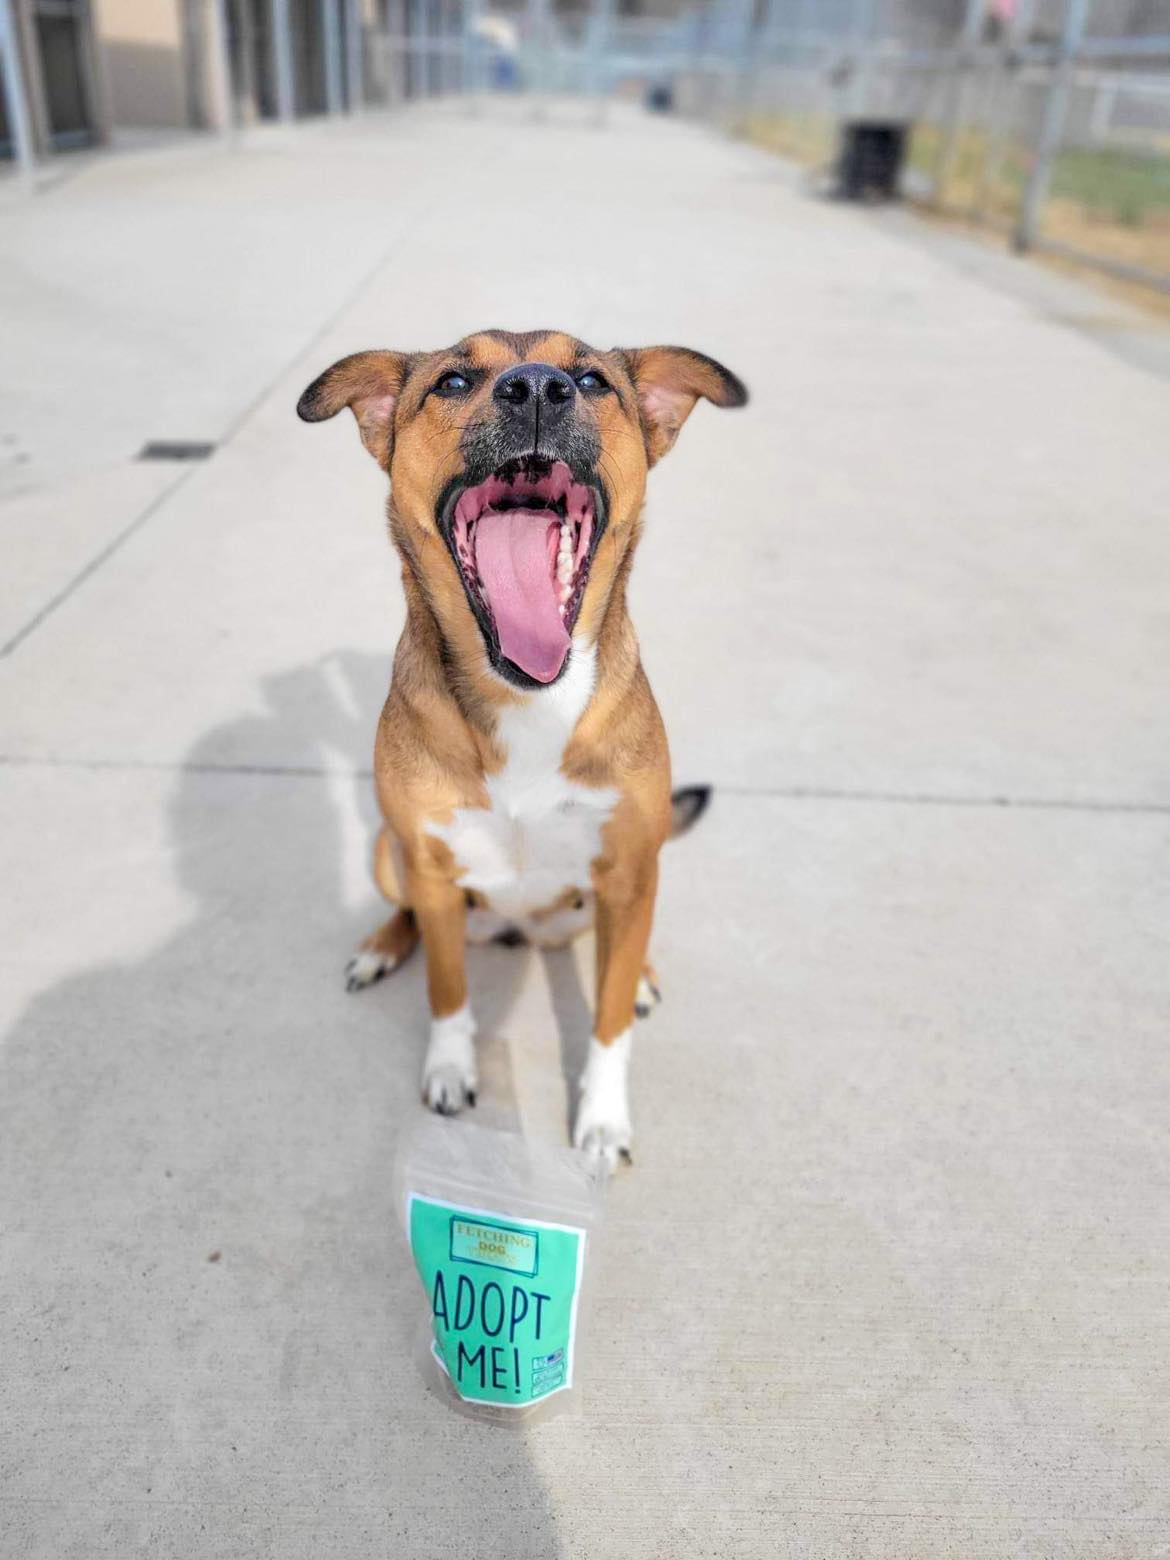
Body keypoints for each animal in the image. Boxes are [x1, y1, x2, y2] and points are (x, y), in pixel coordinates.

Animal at [297, 329, 745, 1166]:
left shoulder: (630, 870)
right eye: (452, 381)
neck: (528, 699)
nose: (537, 388)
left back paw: (638, 976)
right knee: (407, 909)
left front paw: (602, 1117)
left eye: (593, 380)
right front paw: (449, 1069)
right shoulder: (432, 868)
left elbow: (607, 1018)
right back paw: (381, 945)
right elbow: (446, 988)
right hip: (387, 852)